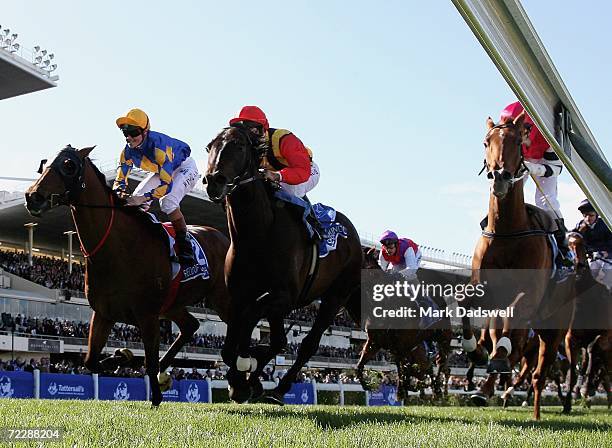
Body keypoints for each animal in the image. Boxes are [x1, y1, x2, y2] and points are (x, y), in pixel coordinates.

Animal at [24, 146, 232, 406]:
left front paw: (155, 397)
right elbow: (90, 361)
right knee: (191, 325)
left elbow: (148, 362)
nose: (32, 196)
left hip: (221, 299)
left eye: (69, 165)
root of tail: (224, 238)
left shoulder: (148, 315)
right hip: (173, 305)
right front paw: (121, 357)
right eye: (44, 164)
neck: (118, 247)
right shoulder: (104, 313)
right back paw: (166, 370)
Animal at [204, 126, 364, 402]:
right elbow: (233, 341)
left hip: (336, 295)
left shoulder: (283, 296)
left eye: (239, 145)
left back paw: (279, 388)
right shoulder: (239, 294)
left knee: (308, 344)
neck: (256, 234)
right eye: (209, 146)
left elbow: (249, 319)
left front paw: (245, 367)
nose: (214, 180)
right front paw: (240, 379)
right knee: (279, 340)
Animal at [466, 113, 576, 420]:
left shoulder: (529, 295)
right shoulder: (484, 289)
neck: (507, 231)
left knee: (539, 374)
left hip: (554, 330)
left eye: (517, 141)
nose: (500, 177)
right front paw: (474, 350)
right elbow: (465, 305)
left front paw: (498, 355)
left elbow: (512, 320)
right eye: (486, 141)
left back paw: (536, 411)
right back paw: (487, 387)